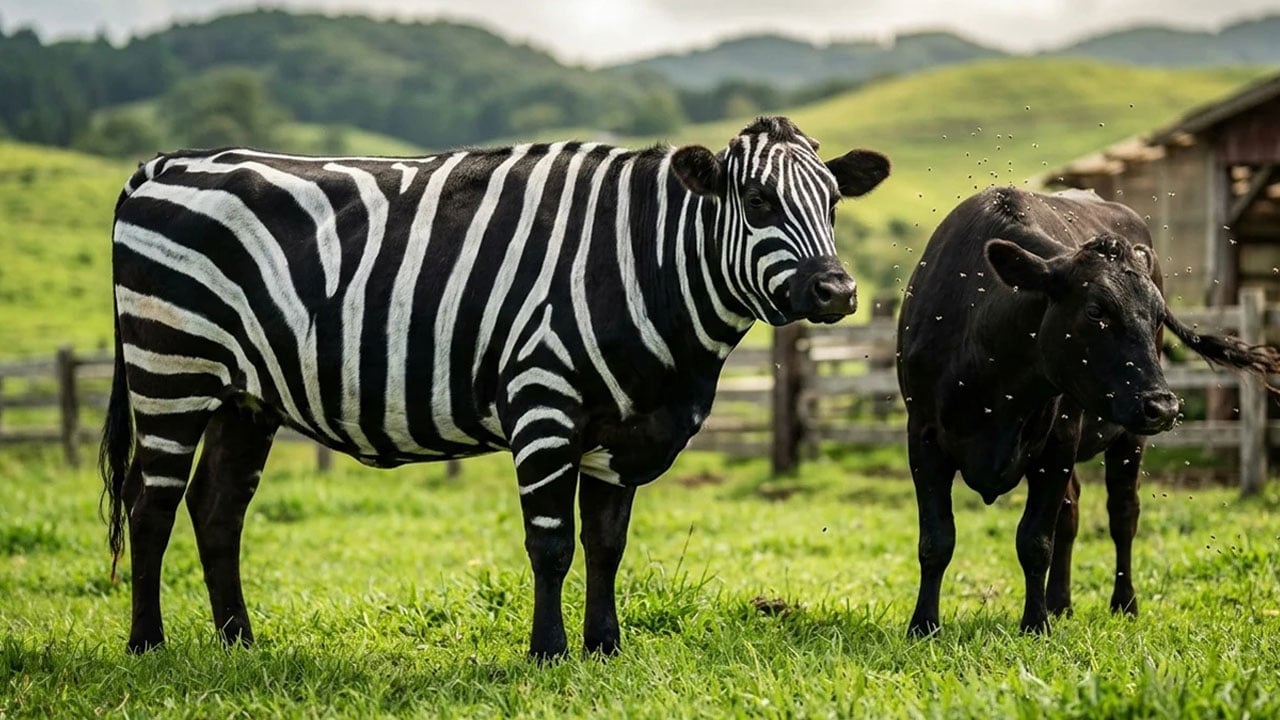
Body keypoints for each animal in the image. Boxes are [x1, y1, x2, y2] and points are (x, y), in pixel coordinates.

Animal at [100, 115, 890, 659]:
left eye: (832, 204)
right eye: (757, 202)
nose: (838, 292)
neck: (645, 267)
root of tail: (162, 164)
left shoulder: (624, 428)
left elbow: (607, 544)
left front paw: (606, 649)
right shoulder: (544, 399)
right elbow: (552, 544)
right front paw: (549, 654)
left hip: (244, 396)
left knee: (217, 509)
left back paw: (238, 641)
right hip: (172, 368)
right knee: (151, 507)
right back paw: (148, 645)